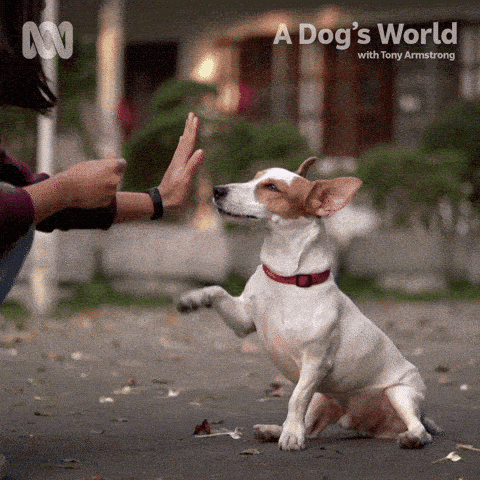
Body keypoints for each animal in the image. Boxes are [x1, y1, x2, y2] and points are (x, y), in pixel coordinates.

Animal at [177, 157, 438, 450]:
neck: (287, 278)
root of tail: (369, 424)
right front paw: (192, 298)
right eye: (254, 177)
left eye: (272, 187)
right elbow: (217, 290)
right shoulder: (243, 322)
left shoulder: (315, 363)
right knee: (311, 428)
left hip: (400, 394)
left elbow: (295, 398)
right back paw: (274, 430)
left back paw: (412, 437)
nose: (217, 190)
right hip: (323, 398)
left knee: (419, 428)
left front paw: (291, 436)